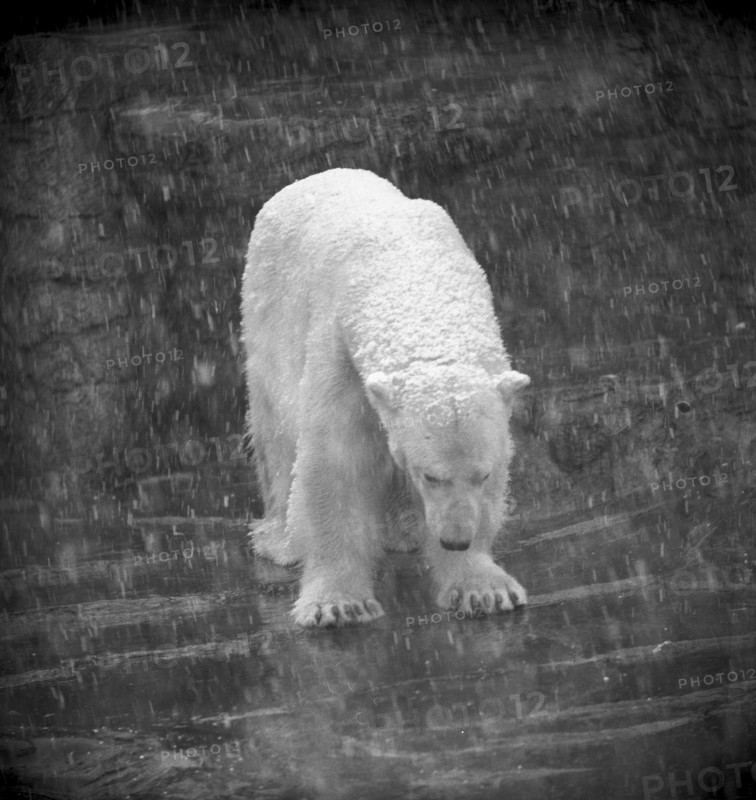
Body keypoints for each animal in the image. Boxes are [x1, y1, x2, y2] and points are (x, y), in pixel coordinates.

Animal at [241, 168, 530, 628]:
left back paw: (405, 530)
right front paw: (338, 603)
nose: (456, 539)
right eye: (431, 476)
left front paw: (483, 587)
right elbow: (335, 463)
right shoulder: (339, 353)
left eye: (484, 475)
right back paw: (279, 542)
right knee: (278, 436)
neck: (409, 278)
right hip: (267, 314)